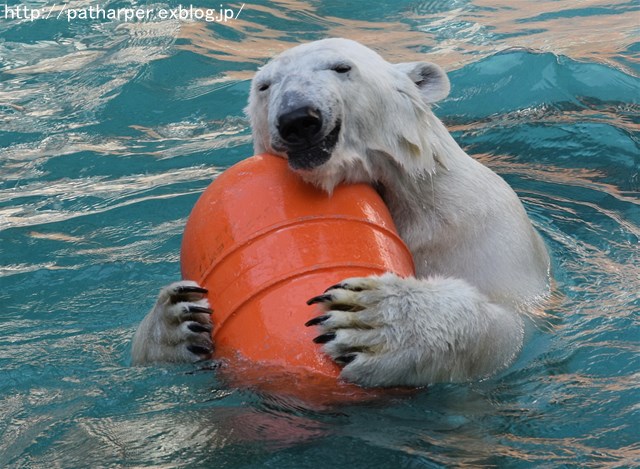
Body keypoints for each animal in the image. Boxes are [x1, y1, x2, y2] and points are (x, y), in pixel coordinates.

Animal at [131, 38, 552, 386]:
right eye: (264, 86)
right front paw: (176, 320)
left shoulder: (477, 225)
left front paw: (375, 321)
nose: (298, 118)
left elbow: (511, 326)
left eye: (341, 67)